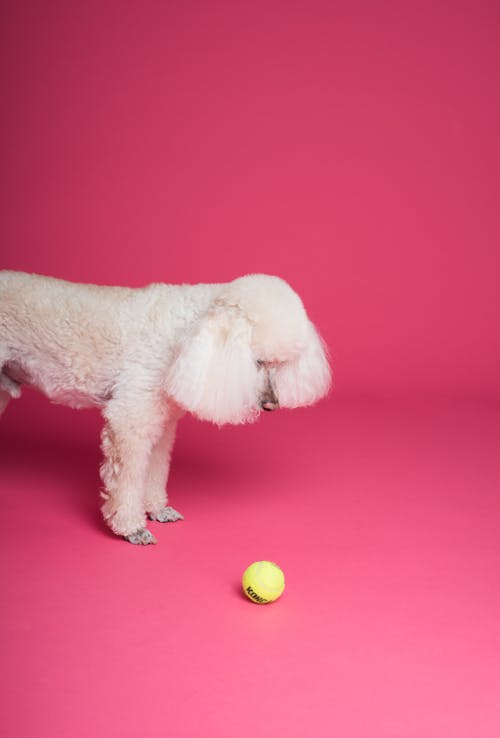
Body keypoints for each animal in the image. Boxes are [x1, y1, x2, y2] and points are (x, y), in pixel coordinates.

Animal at [0, 270, 332, 540]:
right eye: (257, 361)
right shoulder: (129, 420)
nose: (271, 405)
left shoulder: (160, 423)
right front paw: (131, 528)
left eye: (280, 364)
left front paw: (156, 510)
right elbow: (127, 479)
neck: (187, 332)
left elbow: (155, 468)